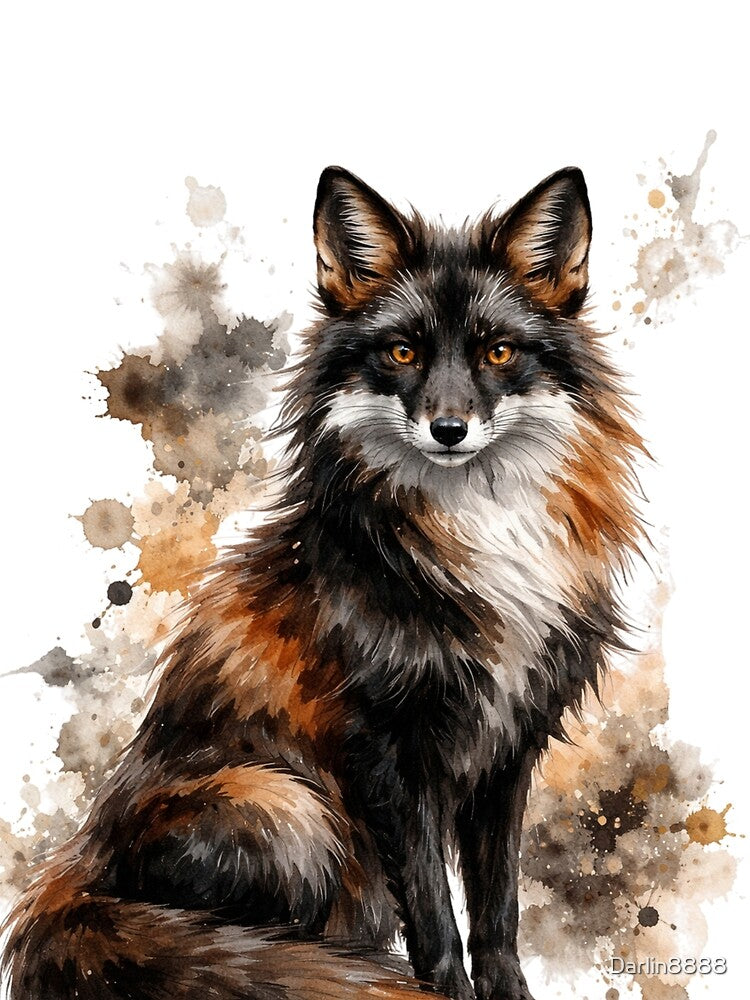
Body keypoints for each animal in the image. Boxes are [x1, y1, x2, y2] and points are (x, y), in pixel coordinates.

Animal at [2, 166, 643, 1000]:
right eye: (402, 351)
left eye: (499, 352)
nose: (448, 429)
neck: (478, 539)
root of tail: (75, 869)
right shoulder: (391, 751)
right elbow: (436, 916)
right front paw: (441, 992)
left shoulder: (512, 742)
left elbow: (498, 911)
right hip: (297, 812)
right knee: (244, 937)